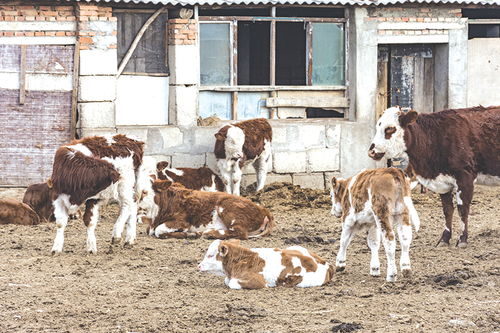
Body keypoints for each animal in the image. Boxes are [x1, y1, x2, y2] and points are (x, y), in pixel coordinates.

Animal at [143, 179, 276, 239]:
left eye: (145, 192)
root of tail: (264, 210)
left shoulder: (181, 221)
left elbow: (159, 230)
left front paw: (190, 234)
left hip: (228, 208)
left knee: (240, 233)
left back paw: (209, 233)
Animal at [197, 239, 334, 288]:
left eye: (210, 255)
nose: (199, 266)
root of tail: (326, 264)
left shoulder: (257, 281)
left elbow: (231, 283)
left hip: (303, 283)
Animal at [368, 105, 500, 246]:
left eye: (390, 129)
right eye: (378, 127)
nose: (371, 151)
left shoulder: (465, 177)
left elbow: (462, 209)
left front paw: (462, 239)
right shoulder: (442, 181)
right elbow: (447, 210)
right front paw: (444, 239)